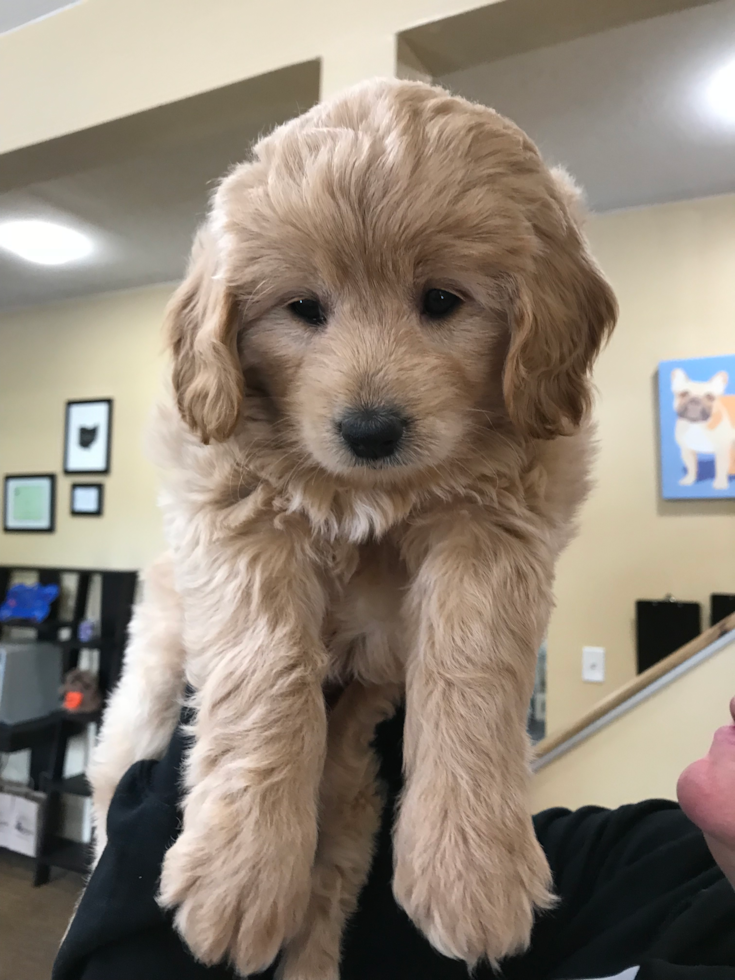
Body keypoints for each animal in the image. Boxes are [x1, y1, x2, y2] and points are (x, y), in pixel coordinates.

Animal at [89, 80, 620, 980]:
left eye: (441, 301)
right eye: (303, 309)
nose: (370, 430)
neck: (372, 495)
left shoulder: (500, 521)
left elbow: (472, 663)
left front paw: (472, 868)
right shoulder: (229, 506)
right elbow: (265, 667)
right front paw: (238, 871)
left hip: (356, 759)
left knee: (334, 858)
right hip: (153, 671)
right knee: (111, 763)